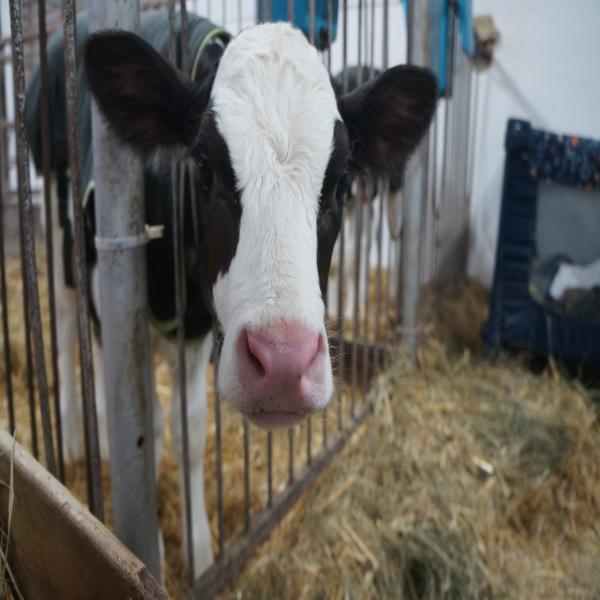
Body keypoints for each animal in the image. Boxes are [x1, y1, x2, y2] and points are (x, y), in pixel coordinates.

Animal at [27, 12, 436, 576]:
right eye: (202, 166)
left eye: (342, 180)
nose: (284, 363)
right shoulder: (108, 300)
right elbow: (145, 428)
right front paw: (149, 547)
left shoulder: (195, 327)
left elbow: (190, 431)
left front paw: (199, 550)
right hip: (57, 214)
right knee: (65, 321)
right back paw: (70, 431)